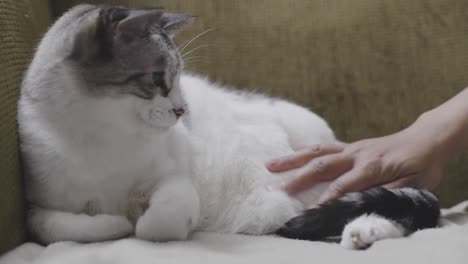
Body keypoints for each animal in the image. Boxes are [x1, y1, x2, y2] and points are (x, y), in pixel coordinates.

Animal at [18, 4, 440, 250]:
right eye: (157, 78)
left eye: (179, 77)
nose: (182, 110)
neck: (101, 140)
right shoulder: (39, 205)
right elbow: (62, 227)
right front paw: (113, 221)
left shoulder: (175, 180)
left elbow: (158, 223)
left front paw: (138, 219)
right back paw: (361, 232)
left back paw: (362, 232)